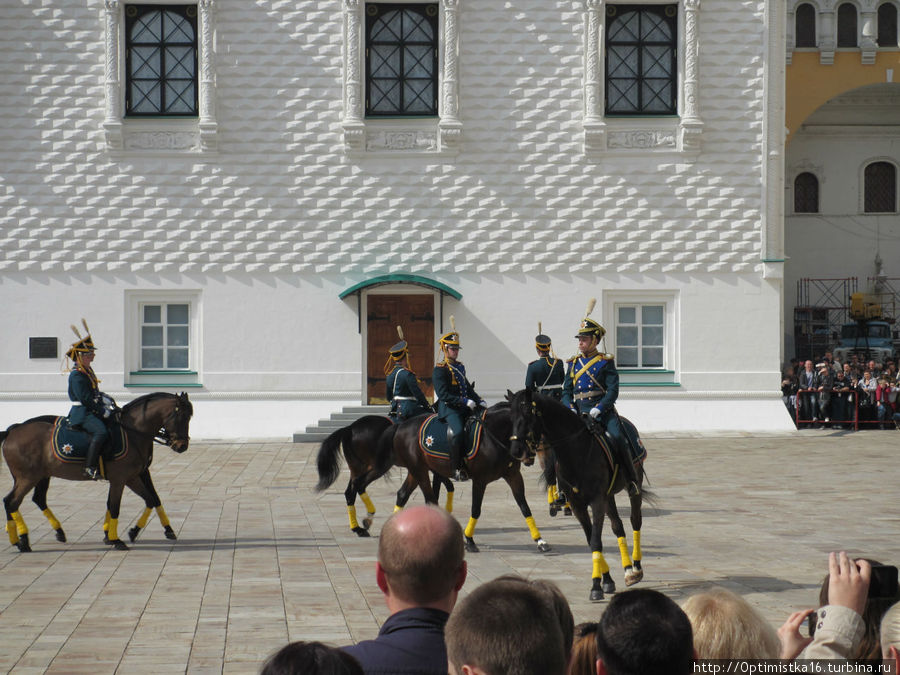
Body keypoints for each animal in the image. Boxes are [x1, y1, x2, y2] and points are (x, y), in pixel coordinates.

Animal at [2, 394, 193, 552]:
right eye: (182, 417)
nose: (182, 446)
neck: (132, 432)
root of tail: (14, 430)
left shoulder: (133, 476)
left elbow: (150, 499)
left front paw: (124, 532)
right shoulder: (122, 479)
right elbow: (116, 507)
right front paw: (116, 539)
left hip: (37, 476)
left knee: (30, 500)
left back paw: (29, 537)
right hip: (28, 478)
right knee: (12, 502)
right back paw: (22, 541)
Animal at [316, 414, 458, 536]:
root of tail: (350, 428)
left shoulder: (425, 468)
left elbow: (447, 485)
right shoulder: (428, 468)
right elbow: (442, 487)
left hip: (360, 467)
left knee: (352, 490)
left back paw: (360, 525)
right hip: (375, 467)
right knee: (355, 488)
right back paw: (361, 525)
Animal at [386, 402, 548, 556]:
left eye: (539, 426)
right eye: (520, 423)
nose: (528, 455)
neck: (492, 435)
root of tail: (401, 426)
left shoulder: (513, 475)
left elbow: (524, 507)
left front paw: (539, 541)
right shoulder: (480, 480)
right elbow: (476, 509)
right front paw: (469, 540)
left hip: (416, 470)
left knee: (403, 494)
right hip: (419, 470)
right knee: (430, 499)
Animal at [506, 388, 648, 604]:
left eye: (528, 414)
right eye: (511, 417)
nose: (516, 450)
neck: (576, 452)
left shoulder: (596, 501)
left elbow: (596, 540)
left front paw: (596, 586)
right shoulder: (577, 504)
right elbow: (591, 540)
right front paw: (606, 580)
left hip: (634, 484)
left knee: (635, 521)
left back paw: (637, 567)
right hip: (609, 498)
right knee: (618, 526)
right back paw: (627, 570)